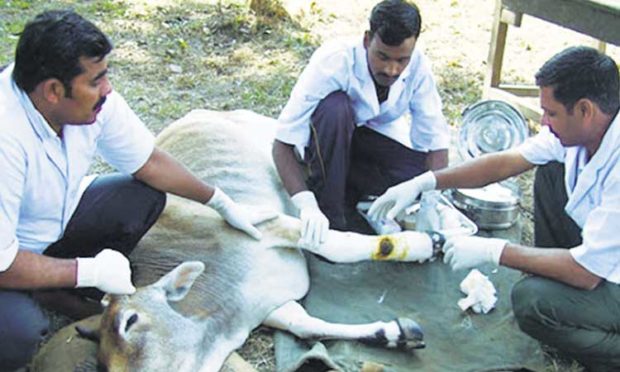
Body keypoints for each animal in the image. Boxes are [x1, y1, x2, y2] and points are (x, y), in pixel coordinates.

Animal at [30, 110, 436, 372]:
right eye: (100, 359)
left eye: (131, 321)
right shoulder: (271, 304)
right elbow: (305, 325)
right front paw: (395, 333)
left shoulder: (272, 226)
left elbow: (336, 246)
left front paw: (422, 243)